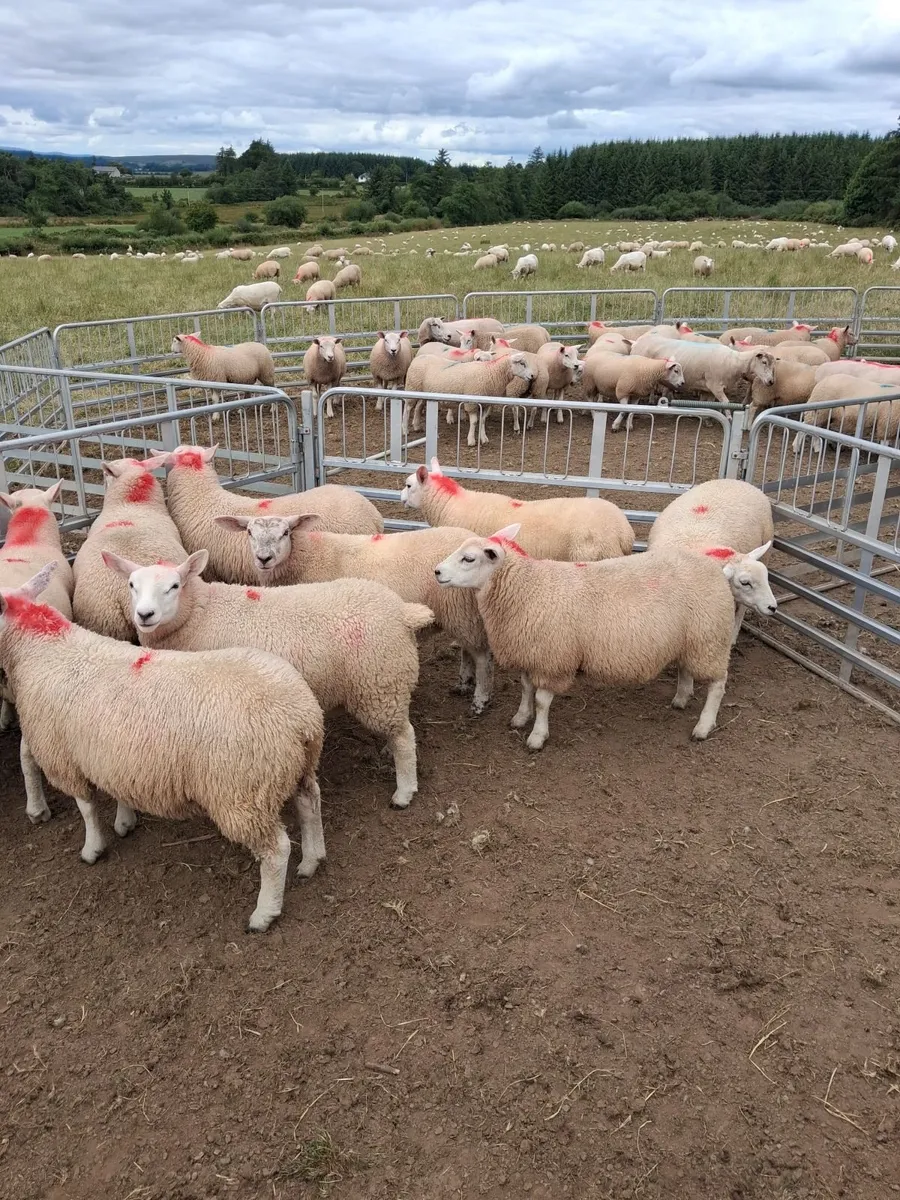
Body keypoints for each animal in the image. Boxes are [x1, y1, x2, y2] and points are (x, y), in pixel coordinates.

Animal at [0, 564, 324, 933]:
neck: (42, 646)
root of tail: (300, 717)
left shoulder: (62, 757)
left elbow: (86, 807)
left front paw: (92, 849)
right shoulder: (114, 754)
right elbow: (115, 792)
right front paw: (124, 822)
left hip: (242, 793)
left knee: (276, 850)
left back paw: (264, 913)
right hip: (296, 769)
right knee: (310, 804)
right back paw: (312, 861)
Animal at [106, 551, 433, 810]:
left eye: (174, 586)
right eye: (132, 585)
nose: (144, 615)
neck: (199, 613)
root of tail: (402, 612)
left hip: (379, 683)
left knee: (405, 737)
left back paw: (404, 793)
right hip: (385, 685)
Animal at [218, 516, 494, 715]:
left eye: (285, 532)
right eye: (249, 532)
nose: (263, 558)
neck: (307, 555)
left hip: (460, 609)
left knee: (481, 656)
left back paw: (479, 699)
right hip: (463, 614)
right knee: (468, 650)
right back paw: (463, 683)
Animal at [433, 524, 734, 749]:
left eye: (469, 558)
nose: (436, 571)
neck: (527, 588)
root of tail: (713, 566)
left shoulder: (552, 659)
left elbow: (542, 700)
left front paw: (537, 736)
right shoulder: (531, 653)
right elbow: (526, 689)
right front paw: (520, 717)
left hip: (710, 638)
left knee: (717, 685)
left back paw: (703, 726)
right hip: (693, 639)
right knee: (686, 669)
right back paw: (681, 699)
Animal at [630, 335, 775, 405]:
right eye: (764, 362)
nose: (771, 382)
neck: (734, 361)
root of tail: (637, 342)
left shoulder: (708, 389)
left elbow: (709, 403)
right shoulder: (715, 386)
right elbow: (726, 404)